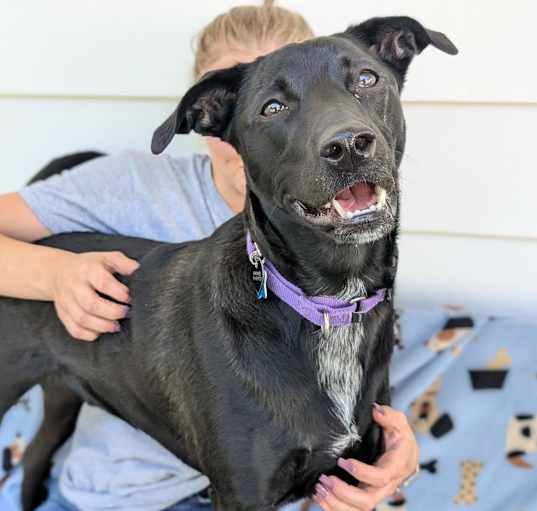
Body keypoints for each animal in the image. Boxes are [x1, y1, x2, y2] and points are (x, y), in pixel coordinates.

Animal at [0, 16, 456, 511]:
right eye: (273, 107)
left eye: (367, 79)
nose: (349, 145)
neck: (326, 304)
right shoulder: (242, 492)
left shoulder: (353, 473)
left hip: (62, 394)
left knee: (35, 454)